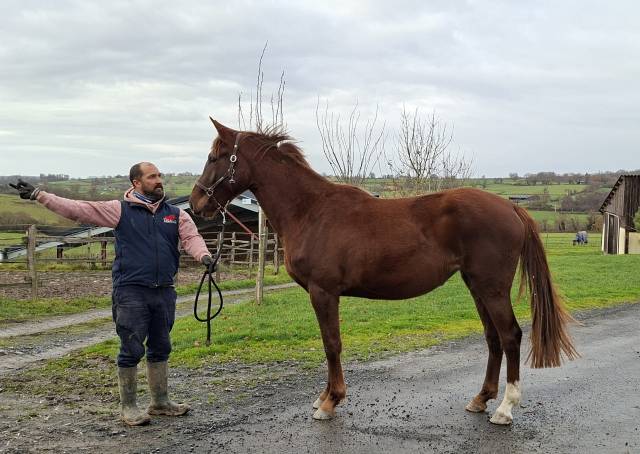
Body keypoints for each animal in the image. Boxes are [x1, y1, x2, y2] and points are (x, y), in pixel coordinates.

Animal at [189, 119, 578, 425]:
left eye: (214, 157)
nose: (196, 202)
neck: (311, 211)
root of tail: (511, 207)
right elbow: (329, 344)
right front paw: (324, 397)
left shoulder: (323, 292)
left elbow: (332, 344)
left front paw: (330, 402)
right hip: (476, 286)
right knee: (493, 338)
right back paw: (480, 400)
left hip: (491, 287)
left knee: (510, 336)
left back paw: (505, 409)